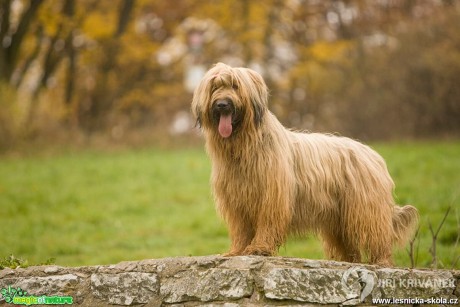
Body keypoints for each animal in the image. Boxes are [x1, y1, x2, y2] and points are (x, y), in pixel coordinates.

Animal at [192, 63, 418, 268]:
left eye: (235, 86)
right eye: (214, 87)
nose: (222, 104)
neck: (244, 147)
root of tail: (373, 155)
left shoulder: (272, 197)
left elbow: (267, 223)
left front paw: (259, 248)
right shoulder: (237, 201)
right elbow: (241, 230)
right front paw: (237, 250)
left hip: (365, 210)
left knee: (378, 237)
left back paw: (381, 262)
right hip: (339, 219)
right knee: (349, 246)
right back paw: (348, 262)